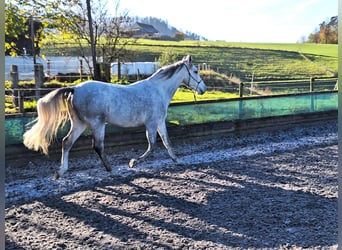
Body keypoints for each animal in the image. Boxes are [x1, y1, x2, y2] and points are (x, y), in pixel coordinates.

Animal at [24, 55, 207, 179]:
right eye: (196, 71)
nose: (203, 89)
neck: (158, 90)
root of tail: (75, 88)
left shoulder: (160, 122)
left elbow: (167, 142)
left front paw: (177, 160)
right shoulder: (151, 123)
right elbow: (152, 145)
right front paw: (133, 162)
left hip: (79, 124)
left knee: (67, 142)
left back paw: (60, 172)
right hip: (97, 124)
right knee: (97, 146)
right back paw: (110, 169)